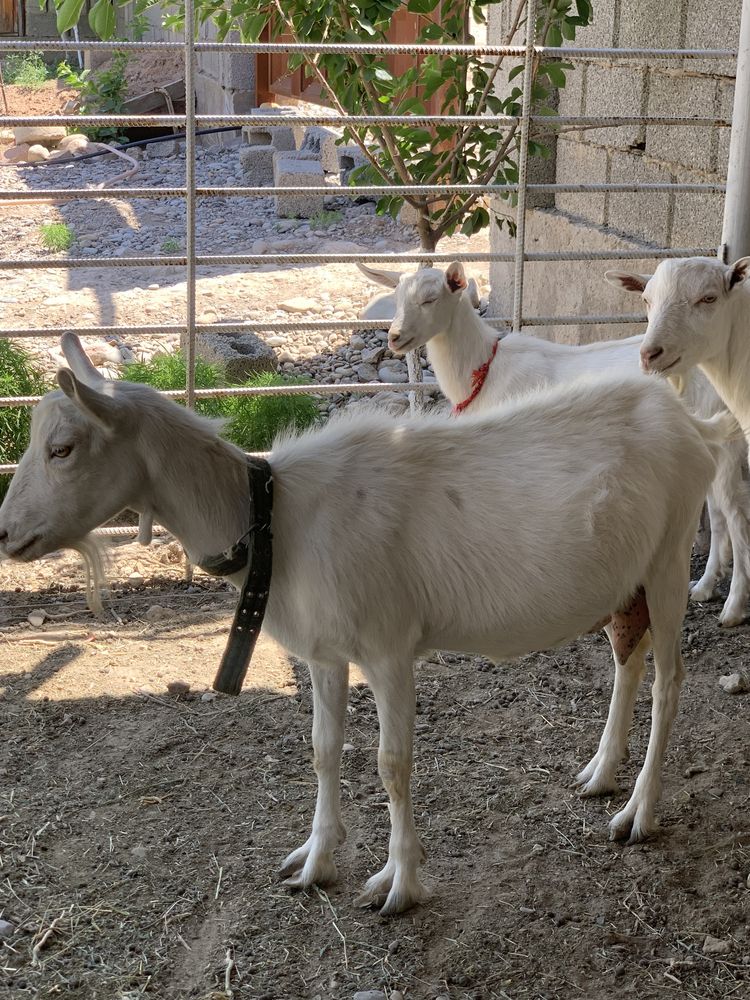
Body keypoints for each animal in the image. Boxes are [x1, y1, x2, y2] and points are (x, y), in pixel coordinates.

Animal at [0, 334, 728, 916]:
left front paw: (399, 884)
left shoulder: (389, 649)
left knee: (669, 680)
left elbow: (392, 763)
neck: (276, 521)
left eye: (62, 449)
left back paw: (639, 812)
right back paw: (601, 773)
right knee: (628, 657)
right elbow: (324, 751)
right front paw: (314, 861)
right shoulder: (324, 653)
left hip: (668, 558)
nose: (5, 533)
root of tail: (691, 423)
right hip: (625, 578)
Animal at [366, 262, 750, 628]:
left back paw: (733, 608)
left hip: (728, 438)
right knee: (717, 510)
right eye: (396, 299)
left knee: (735, 514)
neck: (486, 370)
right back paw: (704, 586)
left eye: (430, 299)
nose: (395, 337)